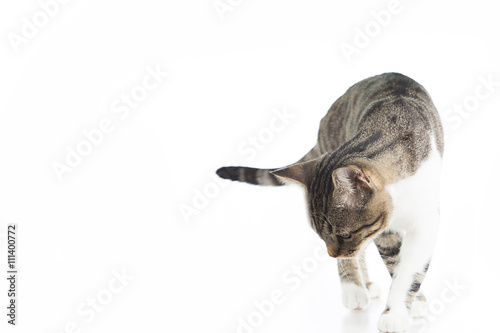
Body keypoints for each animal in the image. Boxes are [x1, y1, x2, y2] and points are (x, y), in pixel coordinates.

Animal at [217, 73, 444, 332]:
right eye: (321, 236)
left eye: (344, 234)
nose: (333, 255)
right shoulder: (385, 228)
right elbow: (394, 260)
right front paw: (397, 308)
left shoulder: (424, 220)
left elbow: (409, 268)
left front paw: (401, 309)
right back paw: (356, 288)